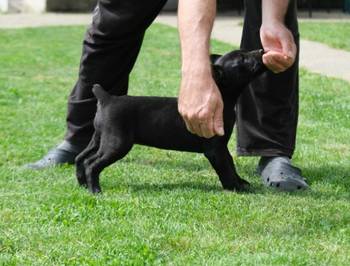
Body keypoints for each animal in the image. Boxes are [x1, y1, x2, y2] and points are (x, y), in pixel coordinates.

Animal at [76, 48, 266, 193]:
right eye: (242, 59)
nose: (261, 51)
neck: (223, 98)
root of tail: (106, 98)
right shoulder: (215, 149)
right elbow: (225, 167)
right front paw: (235, 188)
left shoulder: (221, 146)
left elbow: (230, 163)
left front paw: (240, 182)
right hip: (117, 143)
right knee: (92, 163)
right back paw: (95, 190)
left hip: (100, 138)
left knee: (81, 158)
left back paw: (83, 184)